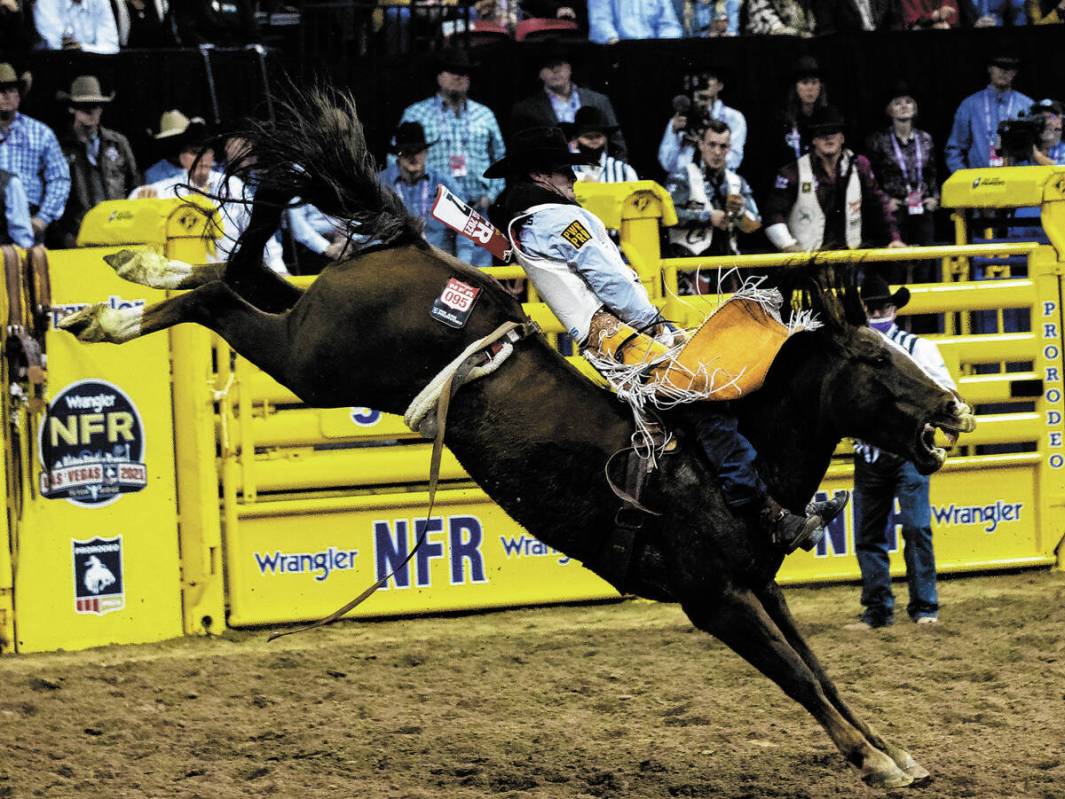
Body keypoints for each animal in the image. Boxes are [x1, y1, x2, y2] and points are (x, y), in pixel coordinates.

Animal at [56, 90, 975, 792]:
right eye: (875, 358)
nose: (952, 407)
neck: (731, 456)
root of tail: (408, 240)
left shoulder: (759, 586)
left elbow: (816, 667)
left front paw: (891, 751)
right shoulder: (714, 598)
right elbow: (795, 674)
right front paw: (875, 761)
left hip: (314, 327)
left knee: (241, 272)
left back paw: (137, 272)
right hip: (318, 362)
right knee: (221, 296)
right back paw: (112, 316)